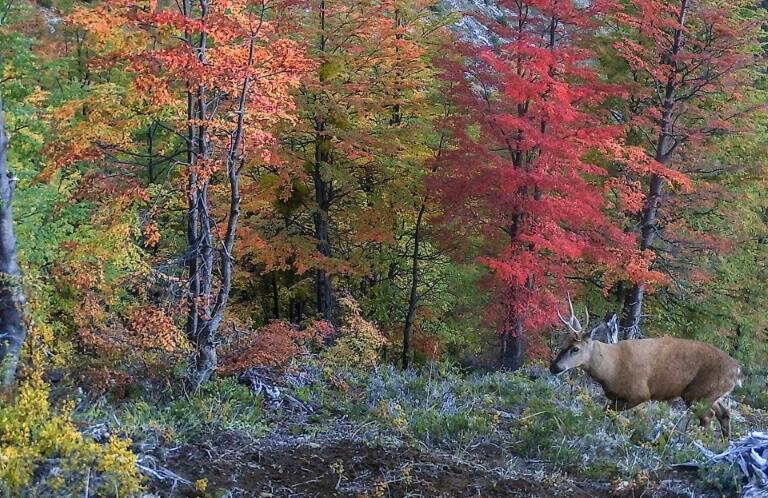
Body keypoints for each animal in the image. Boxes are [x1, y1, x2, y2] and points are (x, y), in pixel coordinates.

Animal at [548, 296, 740, 436]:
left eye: (575, 348)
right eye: (563, 342)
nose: (554, 367)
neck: (610, 369)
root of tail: (738, 370)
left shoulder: (639, 393)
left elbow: (609, 413)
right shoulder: (615, 396)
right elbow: (608, 413)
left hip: (697, 393)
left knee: (708, 416)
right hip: (712, 394)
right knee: (725, 413)